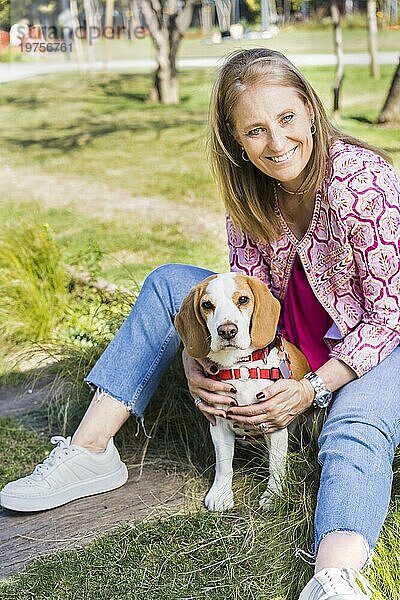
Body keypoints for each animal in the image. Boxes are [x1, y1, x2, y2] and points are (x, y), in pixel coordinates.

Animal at [175, 272, 310, 510]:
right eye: (207, 305)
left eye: (243, 300)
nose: (227, 331)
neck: (241, 366)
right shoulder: (218, 424)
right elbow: (223, 464)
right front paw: (220, 494)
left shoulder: (275, 422)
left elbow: (276, 465)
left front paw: (273, 495)